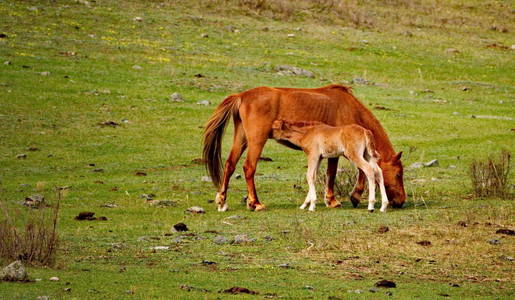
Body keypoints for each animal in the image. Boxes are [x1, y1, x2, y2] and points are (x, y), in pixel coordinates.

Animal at [203, 83, 408, 212]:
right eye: (398, 174)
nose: (401, 201)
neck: (350, 108)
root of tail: (241, 96)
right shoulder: (338, 150)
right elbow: (336, 173)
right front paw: (337, 199)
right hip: (257, 140)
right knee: (249, 167)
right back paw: (255, 203)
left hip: (242, 138)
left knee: (230, 165)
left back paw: (222, 202)